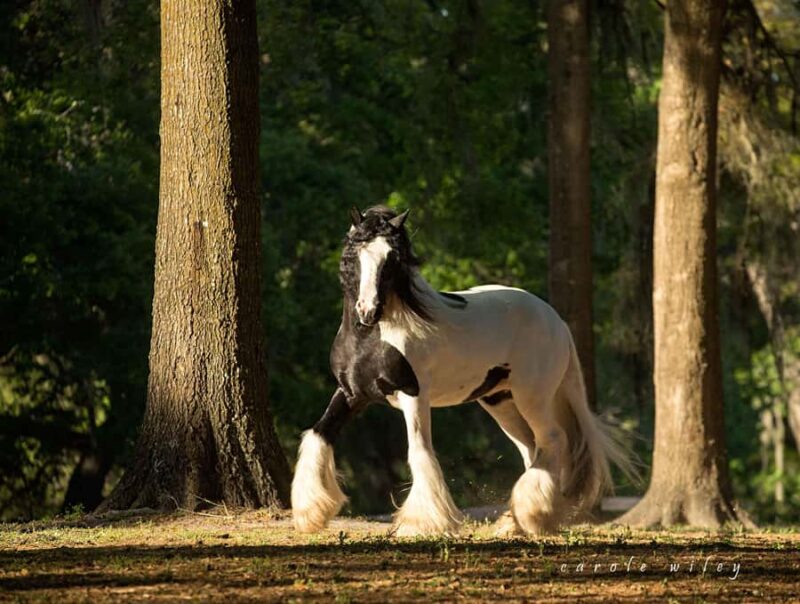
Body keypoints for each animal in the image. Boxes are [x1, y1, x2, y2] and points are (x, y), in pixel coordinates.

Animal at [291, 205, 634, 536]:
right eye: (353, 255)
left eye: (393, 258)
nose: (368, 311)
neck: (373, 339)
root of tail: (555, 320)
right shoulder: (352, 394)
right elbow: (319, 433)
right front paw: (310, 513)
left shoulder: (413, 394)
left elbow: (419, 450)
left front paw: (422, 524)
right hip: (500, 401)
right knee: (531, 448)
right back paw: (518, 522)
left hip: (532, 398)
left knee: (553, 440)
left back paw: (534, 516)